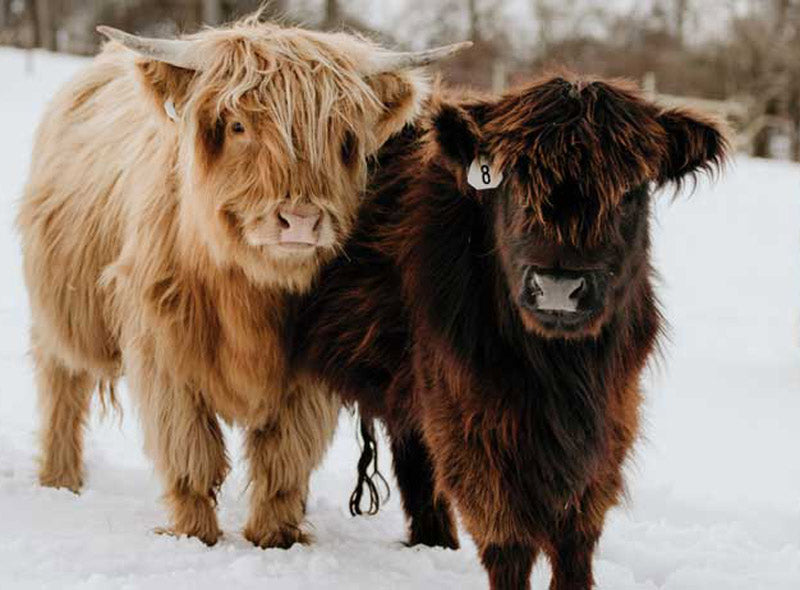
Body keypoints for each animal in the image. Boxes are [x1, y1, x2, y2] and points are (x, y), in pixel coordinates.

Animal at [17, 12, 468, 552]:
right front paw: (193, 535)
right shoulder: (164, 356)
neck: (248, 294)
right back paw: (60, 479)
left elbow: (284, 461)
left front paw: (275, 538)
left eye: (344, 136)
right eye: (237, 125)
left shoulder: (307, 374)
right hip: (61, 313)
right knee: (61, 387)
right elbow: (190, 452)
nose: (301, 221)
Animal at [296, 76, 728, 588]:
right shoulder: (468, 415)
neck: (558, 371)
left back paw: (434, 542)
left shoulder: (611, 415)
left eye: (627, 193)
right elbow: (507, 538)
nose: (558, 286)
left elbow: (577, 535)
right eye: (517, 185)